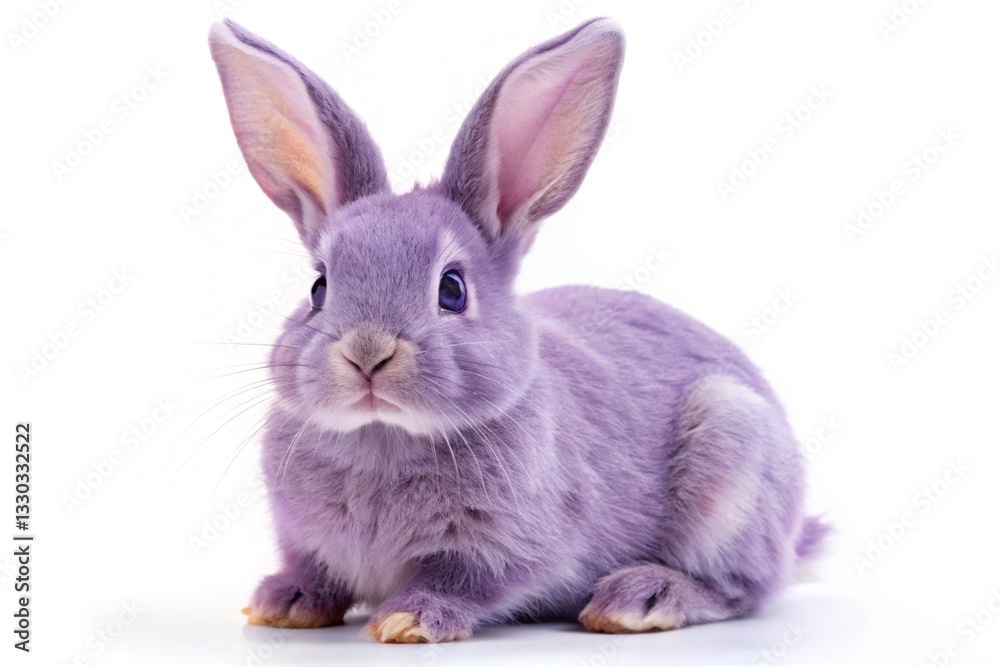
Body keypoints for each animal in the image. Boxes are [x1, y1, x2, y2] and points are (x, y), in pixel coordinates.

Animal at [208, 17, 827, 643]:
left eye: (452, 289)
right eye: (319, 287)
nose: (367, 353)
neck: (383, 437)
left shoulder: (508, 549)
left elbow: (467, 582)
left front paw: (409, 620)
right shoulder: (304, 540)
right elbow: (313, 569)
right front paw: (283, 604)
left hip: (732, 456)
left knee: (741, 586)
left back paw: (639, 599)